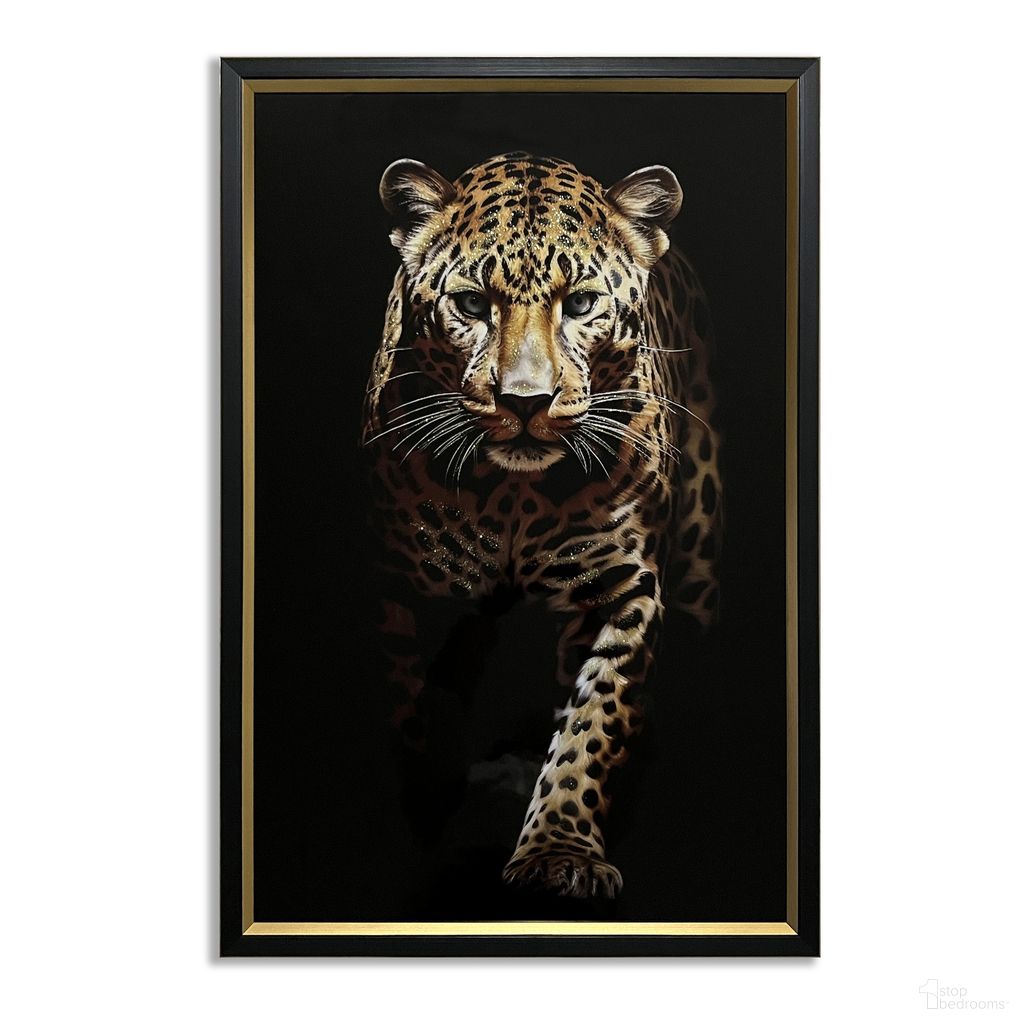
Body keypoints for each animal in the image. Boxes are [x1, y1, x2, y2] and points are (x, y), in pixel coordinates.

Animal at [361, 152, 722, 899]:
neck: (512, 497)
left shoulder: (623, 592)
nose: (524, 402)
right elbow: (413, 716)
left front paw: (559, 851)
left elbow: (593, 724)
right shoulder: (395, 587)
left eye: (580, 304)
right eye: (473, 305)